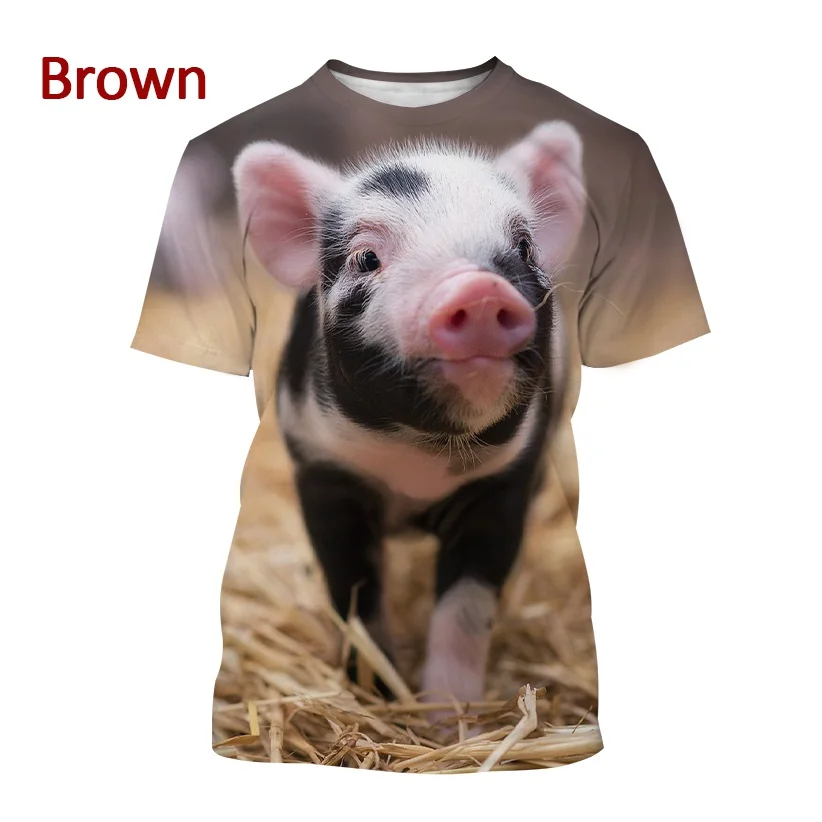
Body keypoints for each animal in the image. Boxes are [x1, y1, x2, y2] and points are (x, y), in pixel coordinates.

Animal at [232, 122, 586, 716]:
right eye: (366, 258)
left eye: (523, 245)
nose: (479, 289)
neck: (417, 465)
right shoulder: (325, 476)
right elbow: (354, 594)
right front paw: (375, 696)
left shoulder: (504, 486)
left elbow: (466, 610)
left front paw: (449, 718)